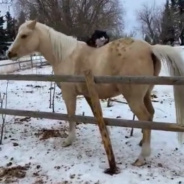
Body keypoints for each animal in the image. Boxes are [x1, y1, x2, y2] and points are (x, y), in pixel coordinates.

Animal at [5, 20, 184, 167]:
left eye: (24, 35)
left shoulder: (69, 94)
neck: (65, 55)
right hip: (145, 95)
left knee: (145, 118)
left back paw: (142, 157)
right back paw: (142, 142)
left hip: (134, 98)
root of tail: (150, 49)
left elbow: (71, 116)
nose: (9, 53)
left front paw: (69, 140)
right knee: (150, 115)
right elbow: (96, 115)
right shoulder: (88, 94)